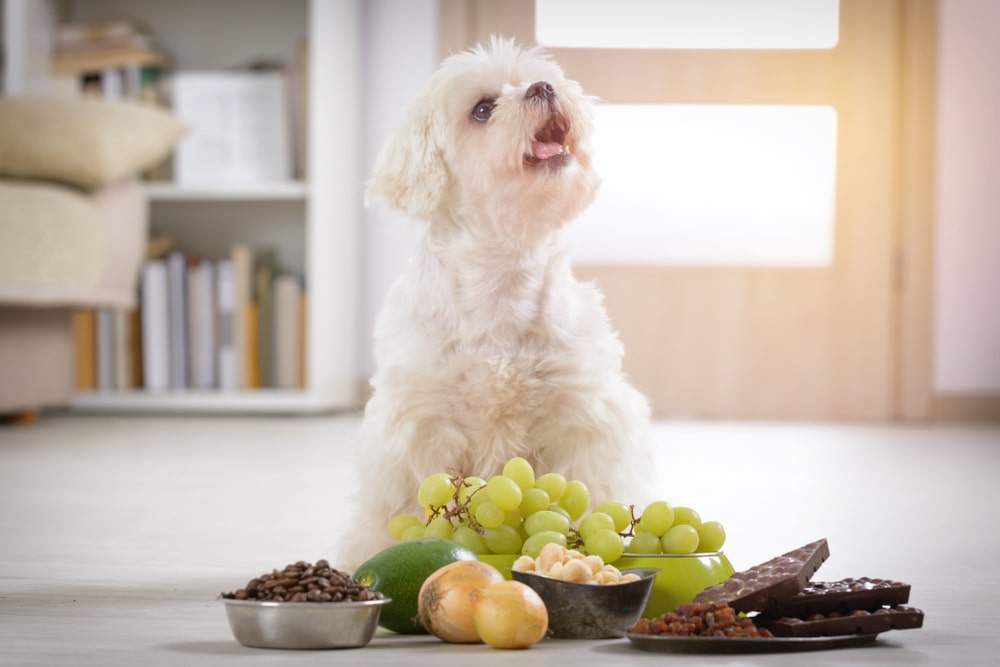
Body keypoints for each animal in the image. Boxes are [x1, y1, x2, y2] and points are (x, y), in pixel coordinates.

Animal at [342, 36, 656, 568]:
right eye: (482, 109)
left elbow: (590, 492)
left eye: (536, 78)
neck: (503, 278)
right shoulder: (420, 429)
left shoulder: (583, 418)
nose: (543, 87)